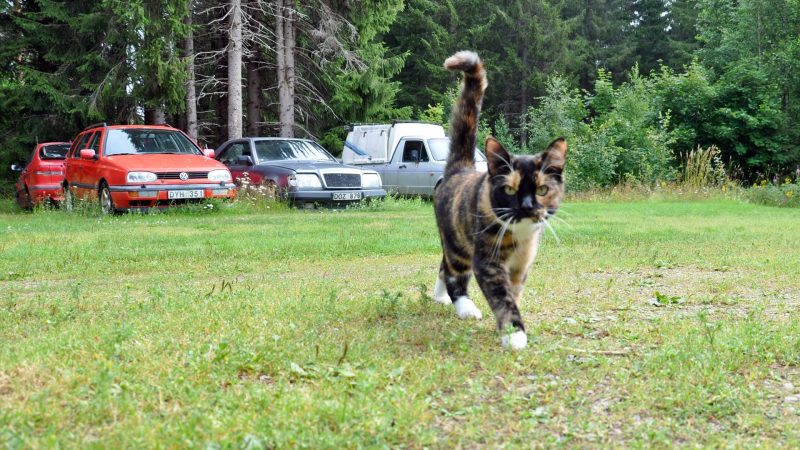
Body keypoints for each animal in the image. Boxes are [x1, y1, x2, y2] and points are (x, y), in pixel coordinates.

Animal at [432, 51, 568, 350]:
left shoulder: (521, 266)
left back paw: (440, 297)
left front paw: (505, 328)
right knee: (453, 271)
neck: (520, 236)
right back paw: (464, 306)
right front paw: (514, 333)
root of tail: (459, 169)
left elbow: (513, 293)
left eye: (542, 189)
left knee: (443, 264)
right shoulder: (488, 262)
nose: (527, 206)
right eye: (509, 190)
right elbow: (502, 297)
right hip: (457, 241)